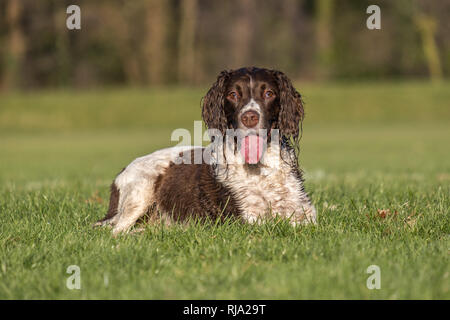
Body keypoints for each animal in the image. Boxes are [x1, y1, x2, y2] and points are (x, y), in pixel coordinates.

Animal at [94, 66, 316, 235]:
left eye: (269, 93)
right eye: (233, 95)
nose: (249, 117)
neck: (260, 170)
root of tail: (121, 173)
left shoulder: (304, 214)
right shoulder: (243, 219)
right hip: (140, 190)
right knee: (116, 231)